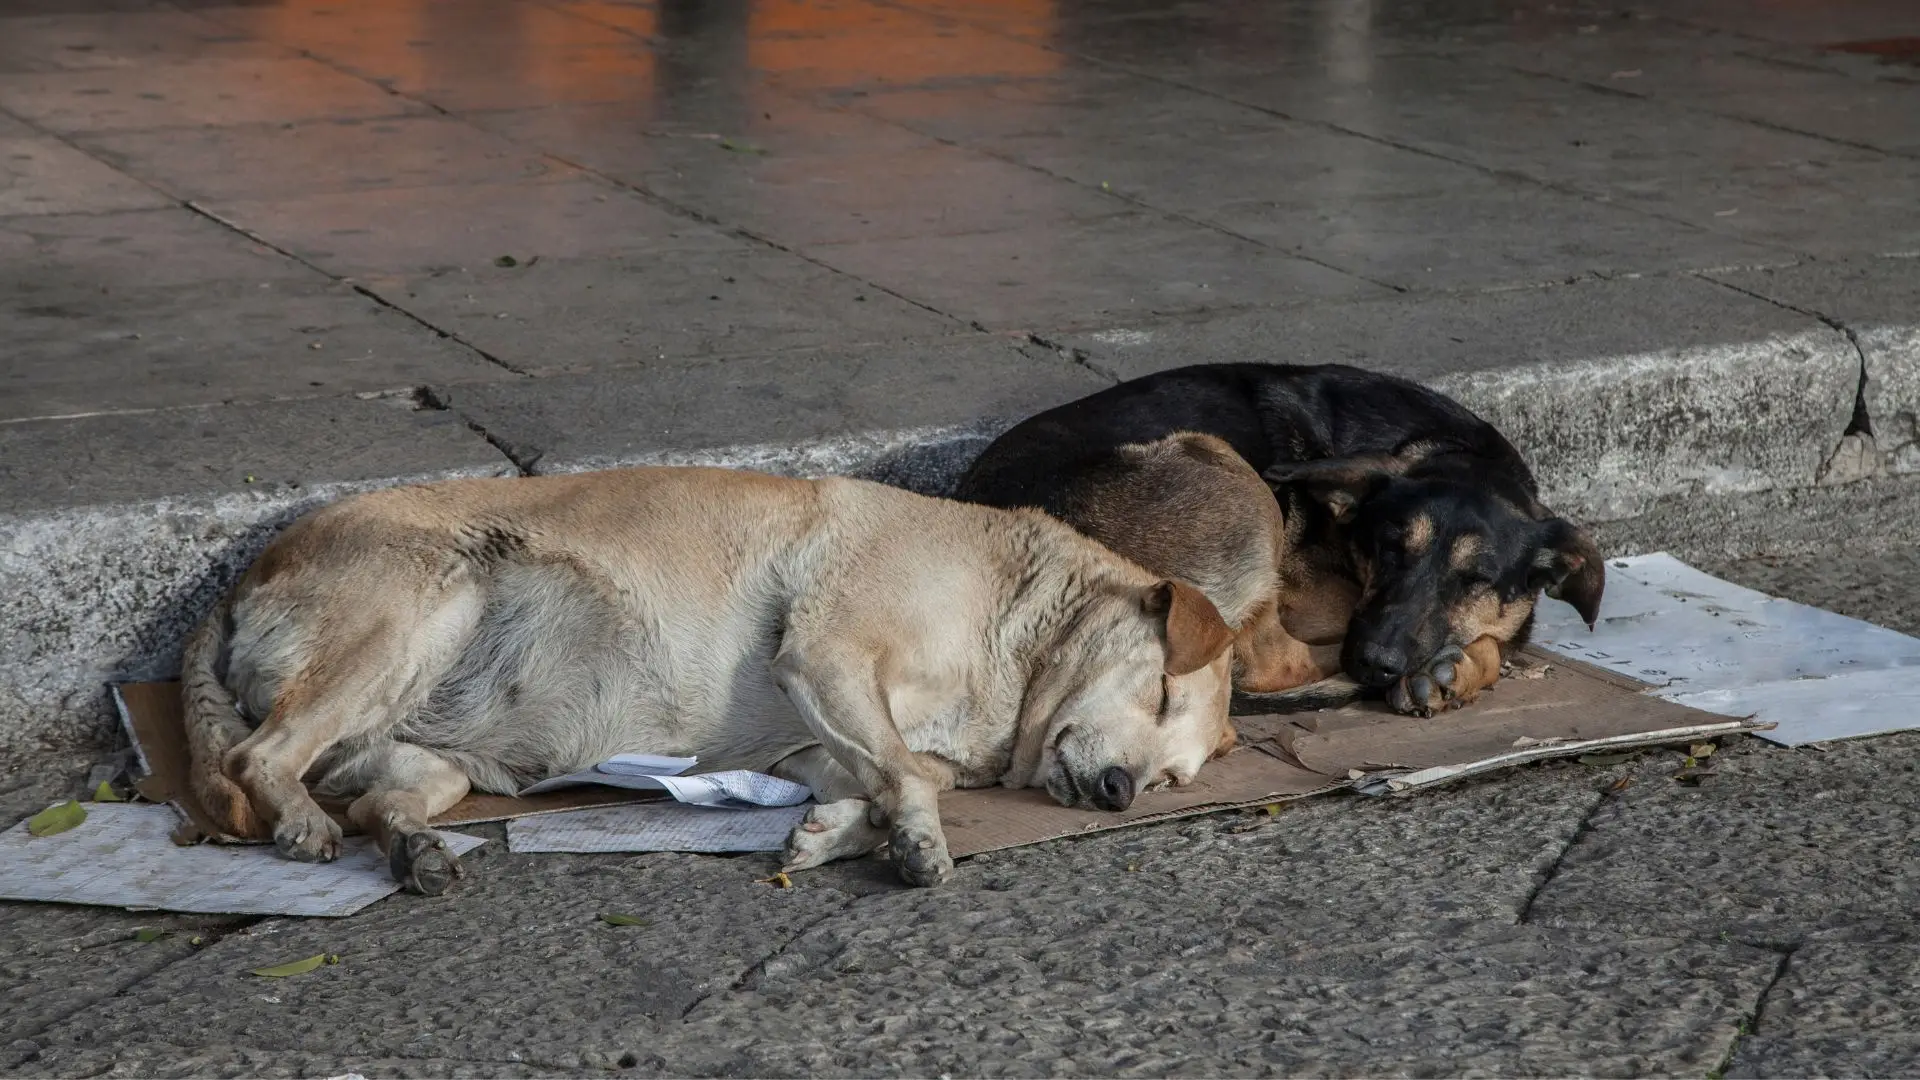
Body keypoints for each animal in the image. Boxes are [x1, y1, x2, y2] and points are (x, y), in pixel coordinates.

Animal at [180, 466, 1228, 887]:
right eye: (1160, 691)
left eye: (1173, 778)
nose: (1120, 791)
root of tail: (239, 582)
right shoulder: (829, 657)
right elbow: (907, 771)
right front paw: (917, 842)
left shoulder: (819, 741)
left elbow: (886, 777)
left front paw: (837, 834)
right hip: (421, 611)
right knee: (259, 758)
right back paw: (300, 823)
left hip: (423, 757)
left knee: (373, 797)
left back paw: (414, 853)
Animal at [956, 361, 1605, 714]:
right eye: (1390, 548)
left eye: (1476, 579)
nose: (1375, 661)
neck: (1443, 447)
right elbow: (1495, 641)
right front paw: (1456, 667)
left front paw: (1449, 673)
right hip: (1231, 475)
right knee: (1262, 659)